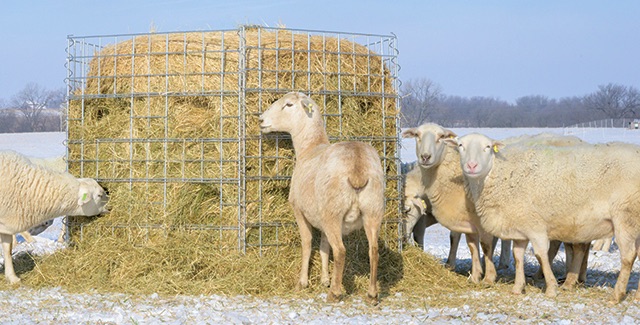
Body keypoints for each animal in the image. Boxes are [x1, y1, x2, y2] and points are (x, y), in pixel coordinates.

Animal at [258, 92, 382, 304]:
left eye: (288, 105)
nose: (261, 120)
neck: (310, 147)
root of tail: (357, 167)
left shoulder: (299, 210)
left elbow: (307, 243)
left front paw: (303, 282)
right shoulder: (321, 217)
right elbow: (324, 246)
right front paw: (324, 279)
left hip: (334, 212)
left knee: (340, 251)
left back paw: (335, 292)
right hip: (372, 210)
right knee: (373, 250)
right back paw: (372, 294)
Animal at [450, 132, 640, 302]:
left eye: (488, 147)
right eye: (460, 146)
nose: (472, 165)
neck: (499, 174)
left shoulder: (535, 226)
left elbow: (541, 255)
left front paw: (551, 288)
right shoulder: (521, 226)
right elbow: (518, 256)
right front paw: (518, 287)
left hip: (626, 218)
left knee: (628, 256)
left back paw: (616, 295)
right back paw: (636, 295)